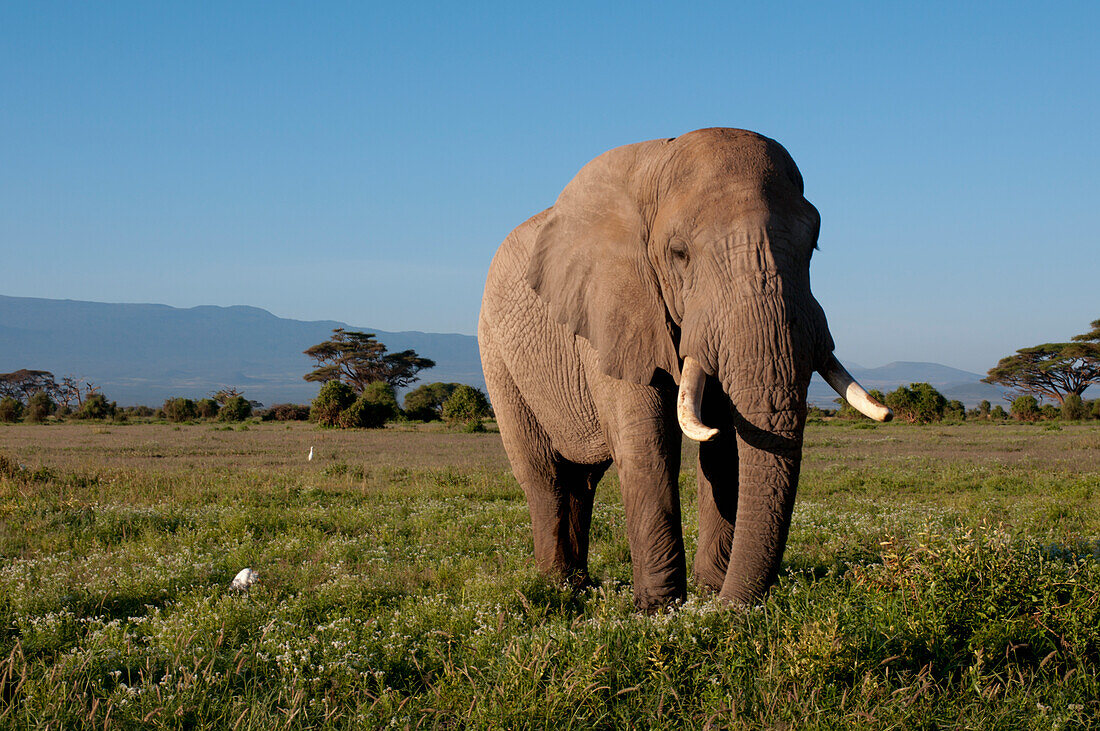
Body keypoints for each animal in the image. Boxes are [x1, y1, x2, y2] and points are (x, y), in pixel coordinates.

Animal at [477, 126, 888, 611]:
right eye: (679, 254)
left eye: (814, 245)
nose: (730, 606)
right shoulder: (613, 307)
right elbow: (648, 444)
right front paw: (660, 612)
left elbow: (727, 448)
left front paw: (707, 601)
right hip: (497, 355)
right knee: (546, 477)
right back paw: (560, 591)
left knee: (583, 481)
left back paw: (582, 587)